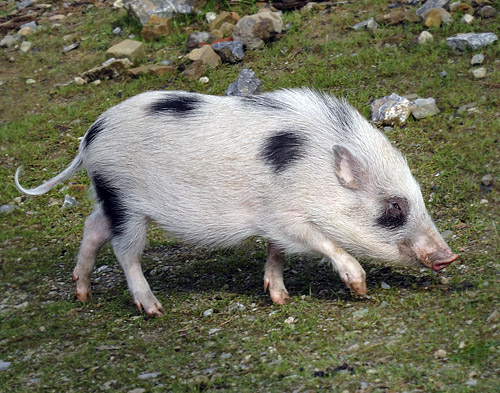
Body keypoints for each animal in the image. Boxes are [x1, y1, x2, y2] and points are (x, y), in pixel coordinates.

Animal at [14, 88, 458, 316]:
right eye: (394, 208)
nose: (450, 256)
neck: (313, 173)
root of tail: (90, 135)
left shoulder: (274, 222)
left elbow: (276, 252)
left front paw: (279, 298)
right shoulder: (284, 215)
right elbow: (323, 243)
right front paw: (360, 289)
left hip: (109, 197)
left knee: (92, 227)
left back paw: (82, 294)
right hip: (126, 201)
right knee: (125, 252)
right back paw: (153, 309)